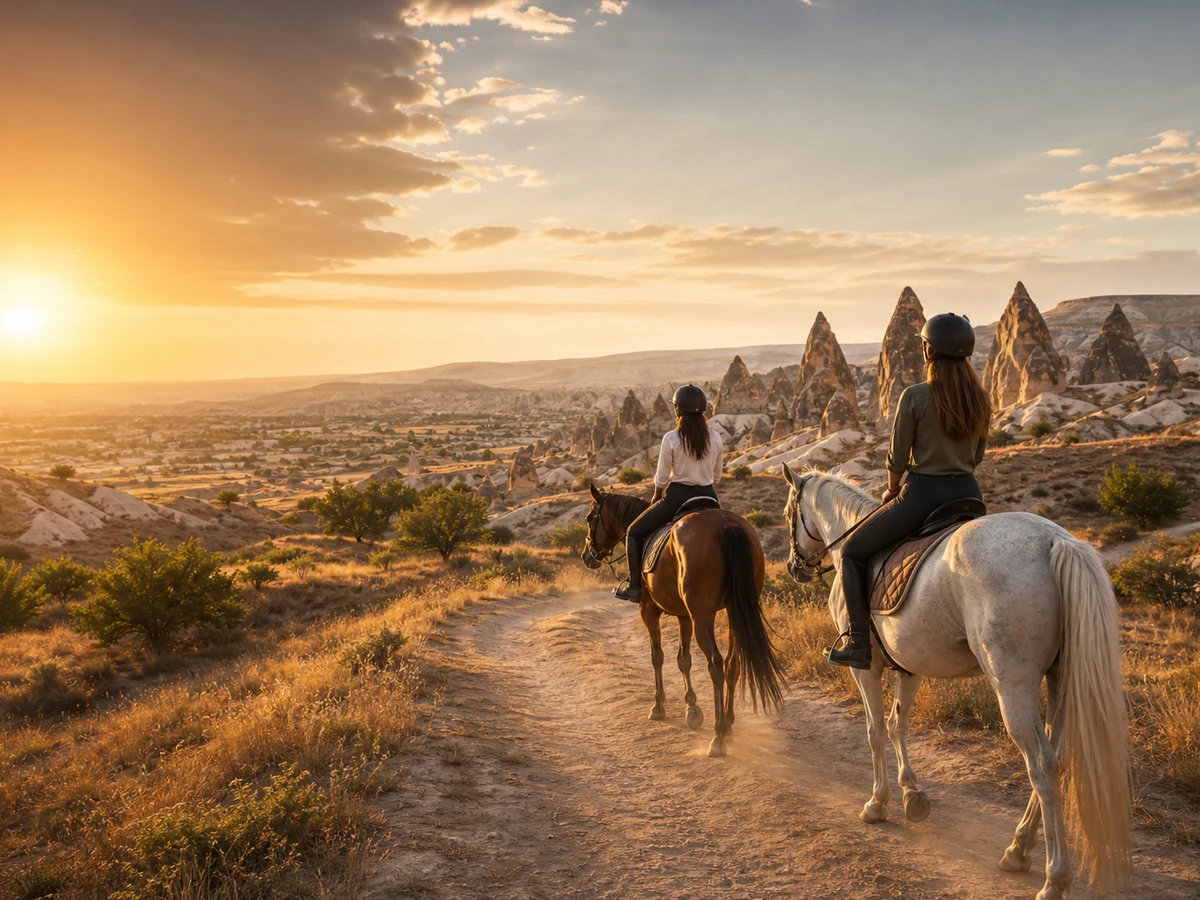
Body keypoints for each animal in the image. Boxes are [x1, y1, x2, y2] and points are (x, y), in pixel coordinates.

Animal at [580, 483, 787, 757]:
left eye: (589, 518)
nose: (587, 556)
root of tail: (727, 525)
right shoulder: (683, 616)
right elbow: (683, 659)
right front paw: (692, 709)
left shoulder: (649, 610)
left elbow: (657, 656)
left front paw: (658, 706)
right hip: (734, 613)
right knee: (732, 663)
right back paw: (729, 724)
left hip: (702, 616)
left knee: (716, 664)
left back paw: (718, 736)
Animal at [780, 466, 1131, 900]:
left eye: (788, 514)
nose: (794, 568)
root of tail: (1056, 540)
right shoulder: (910, 667)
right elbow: (898, 725)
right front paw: (912, 794)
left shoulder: (866, 668)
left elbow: (875, 731)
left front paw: (878, 803)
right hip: (1059, 680)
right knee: (1059, 758)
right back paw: (1018, 848)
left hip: (1013, 686)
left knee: (1042, 766)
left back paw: (1054, 879)